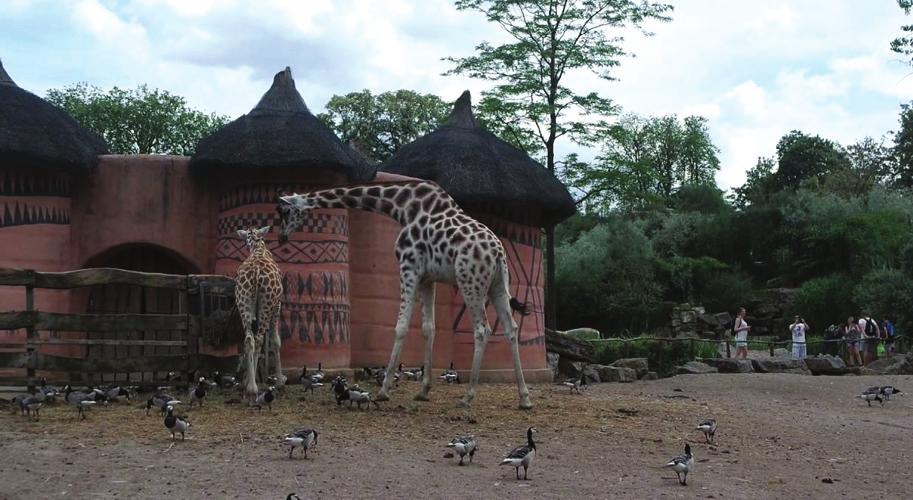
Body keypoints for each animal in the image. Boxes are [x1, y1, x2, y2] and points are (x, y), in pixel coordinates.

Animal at [233, 227, 284, 398]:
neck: (258, 247)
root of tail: (255, 272)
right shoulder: (277, 305)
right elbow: (275, 341)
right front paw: (280, 382)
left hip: (243, 303)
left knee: (249, 339)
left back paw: (249, 386)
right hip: (266, 305)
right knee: (259, 339)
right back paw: (253, 387)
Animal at [278, 182, 536, 408]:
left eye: (284, 211)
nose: (281, 237)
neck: (401, 207)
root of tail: (498, 253)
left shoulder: (408, 267)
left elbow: (400, 326)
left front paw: (383, 390)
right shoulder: (428, 278)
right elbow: (428, 328)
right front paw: (423, 390)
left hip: (470, 282)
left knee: (482, 329)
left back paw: (467, 396)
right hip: (498, 286)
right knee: (511, 329)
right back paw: (524, 397)